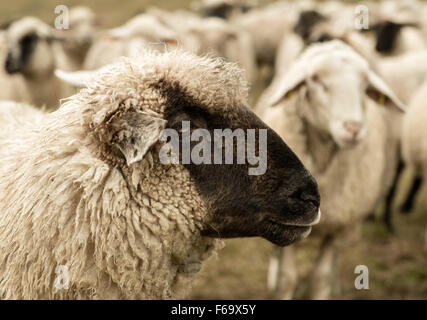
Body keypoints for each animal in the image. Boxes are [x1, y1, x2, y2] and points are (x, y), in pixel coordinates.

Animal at [260, 40, 406, 300]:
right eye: (315, 79)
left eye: (365, 86)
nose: (353, 128)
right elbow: (288, 278)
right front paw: (280, 284)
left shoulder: (339, 228)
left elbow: (321, 278)